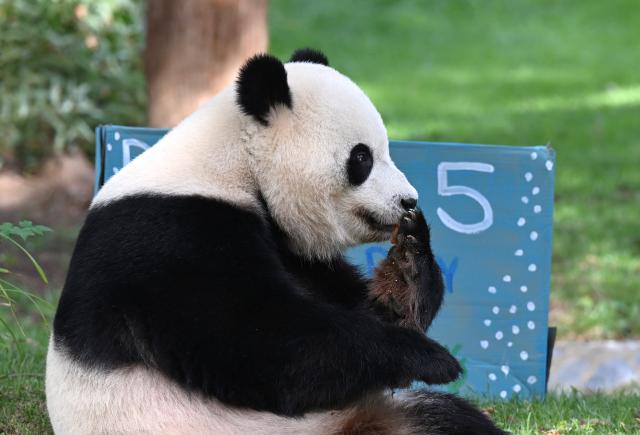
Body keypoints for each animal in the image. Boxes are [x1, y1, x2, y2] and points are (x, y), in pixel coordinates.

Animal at [46, 48, 505, 434]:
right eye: (361, 157)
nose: (408, 200)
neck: (231, 161)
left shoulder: (292, 248)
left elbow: (360, 308)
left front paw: (408, 263)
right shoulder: (170, 237)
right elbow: (264, 349)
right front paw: (429, 357)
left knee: (446, 420)